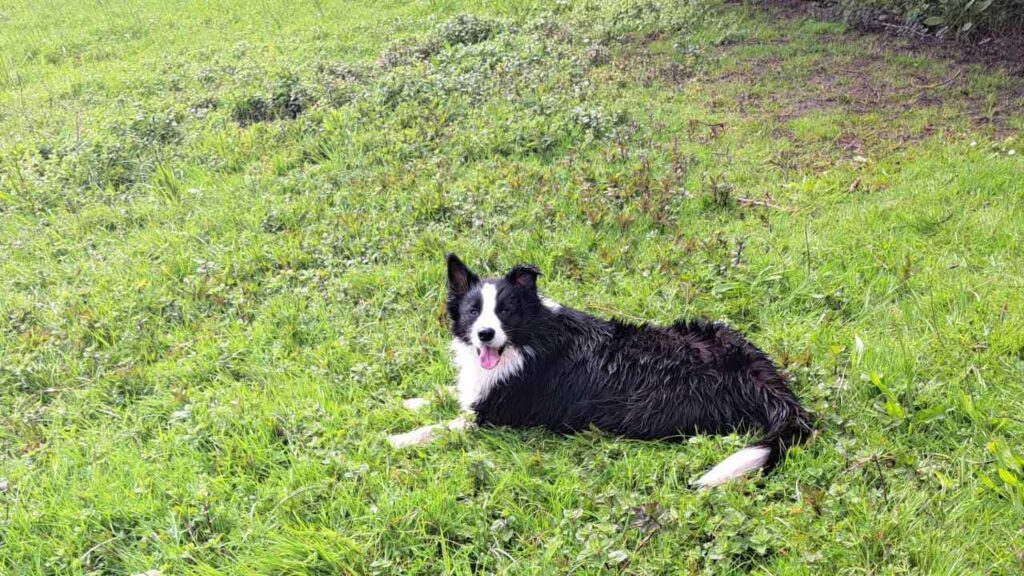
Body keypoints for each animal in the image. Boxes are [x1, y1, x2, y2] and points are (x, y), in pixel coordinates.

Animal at [387, 253, 811, 485]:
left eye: (505, 311)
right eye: (473, 311)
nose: (485, 334)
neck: (527, 339)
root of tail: (759, 373)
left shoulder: (496, 414)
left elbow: (445, 425)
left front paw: (400, 438)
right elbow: (448, 394)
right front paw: (405, 402)